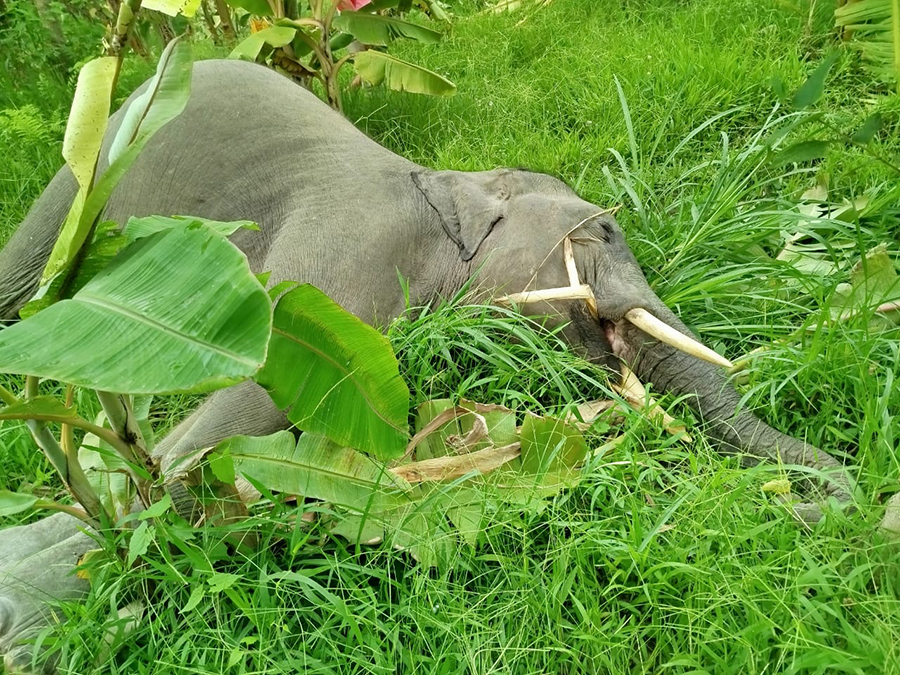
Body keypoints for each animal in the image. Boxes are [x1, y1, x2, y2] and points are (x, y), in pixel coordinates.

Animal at [0, 60, 860, 672]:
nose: (803, 501)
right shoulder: (341, 261)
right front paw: (32, 617)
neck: (454, 185)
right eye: (608, 231)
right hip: (84, 172)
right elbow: (236, 406)